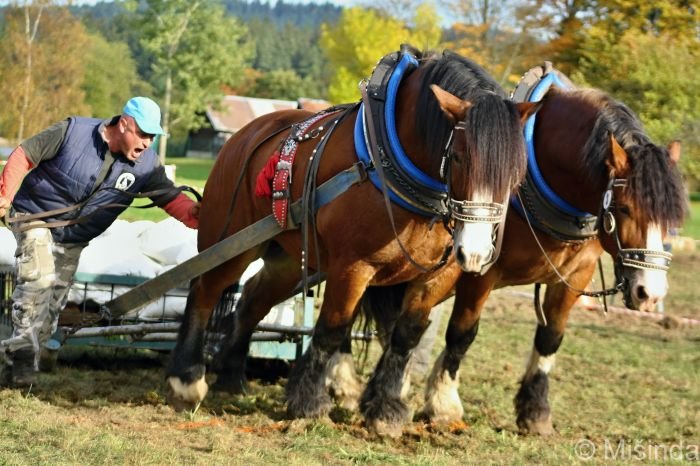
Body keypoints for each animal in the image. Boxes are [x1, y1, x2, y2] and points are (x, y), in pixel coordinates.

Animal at [165, 46, 540, 434]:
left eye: (516, 172)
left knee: (253, 299)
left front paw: (387, 409)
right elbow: (332, 328)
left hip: (290, 259)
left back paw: (231, 377)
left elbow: (406, 335)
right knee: (204, 291)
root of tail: (244, 135)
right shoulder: (353, 266)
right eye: (458, 156)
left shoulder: (438, 274)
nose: (477, 253)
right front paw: (309, 402)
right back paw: (187, 379)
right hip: (229, 242)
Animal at [356, 82, 688, 436]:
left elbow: (550, 337)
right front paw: (443, 404)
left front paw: (536, 411)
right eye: (624, 208)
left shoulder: (575, 275)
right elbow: (462, 333)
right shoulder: (480, 271)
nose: (649, 293)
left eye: (671, 218)